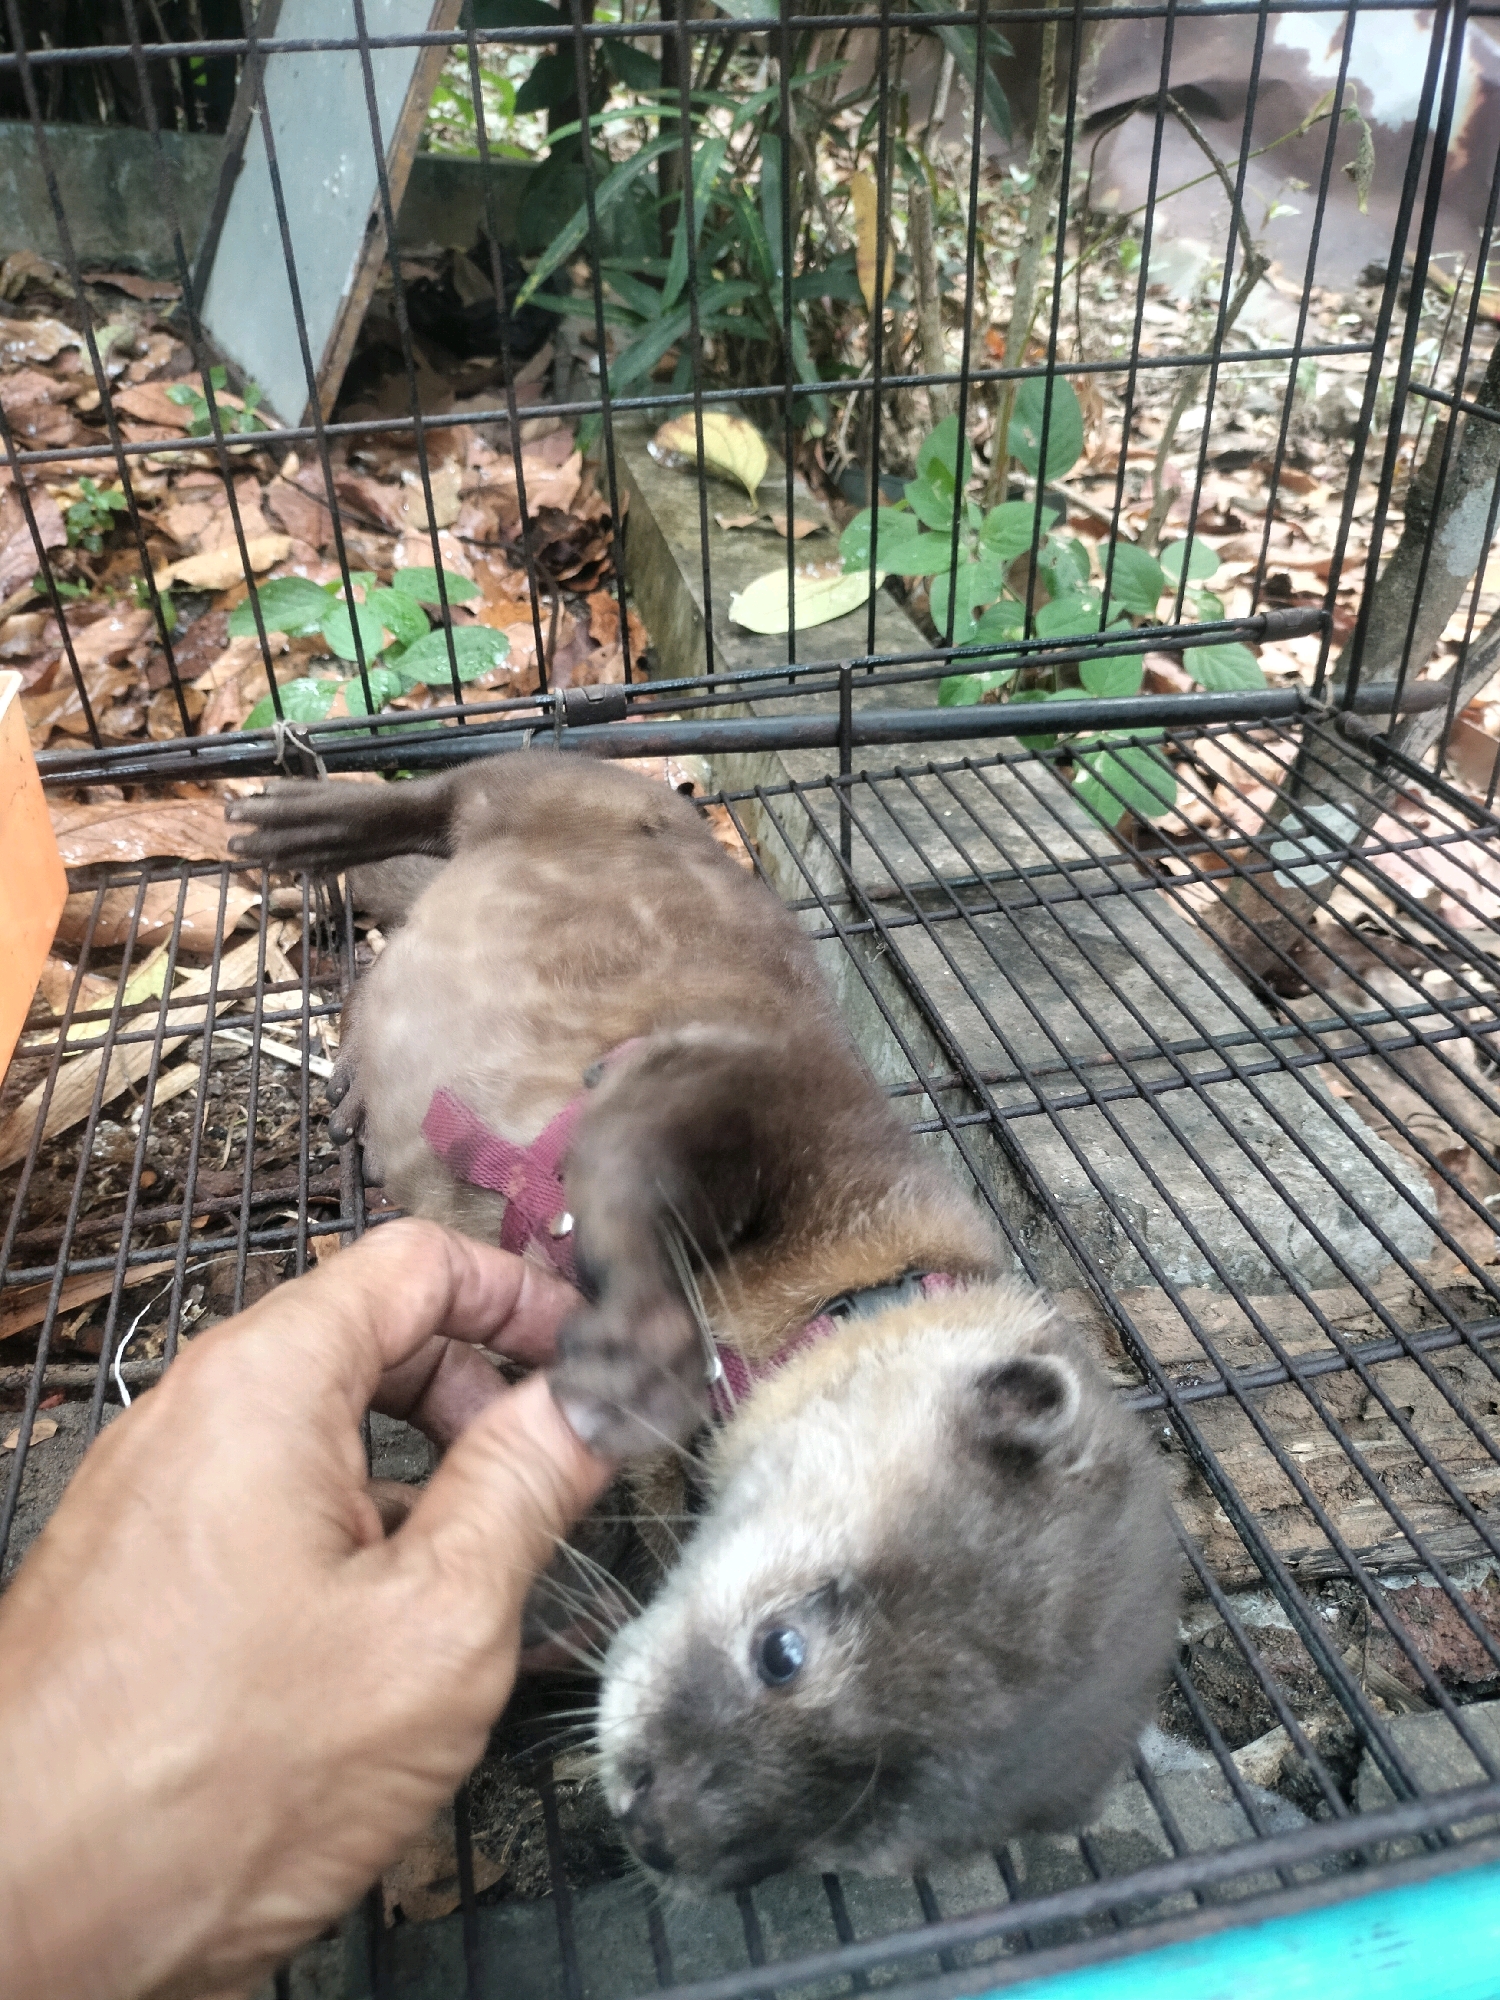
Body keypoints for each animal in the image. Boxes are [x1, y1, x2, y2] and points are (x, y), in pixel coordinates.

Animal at [226, 753, 1178, 1890]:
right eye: (783, 1650)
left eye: (850, 1842)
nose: (659, 1833)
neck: (839, 1290)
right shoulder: (776, 1102)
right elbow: (655, 1151)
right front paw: (641, 1357)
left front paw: (556, 1605)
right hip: (579, 786)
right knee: (460, 782)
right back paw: (304, 820)